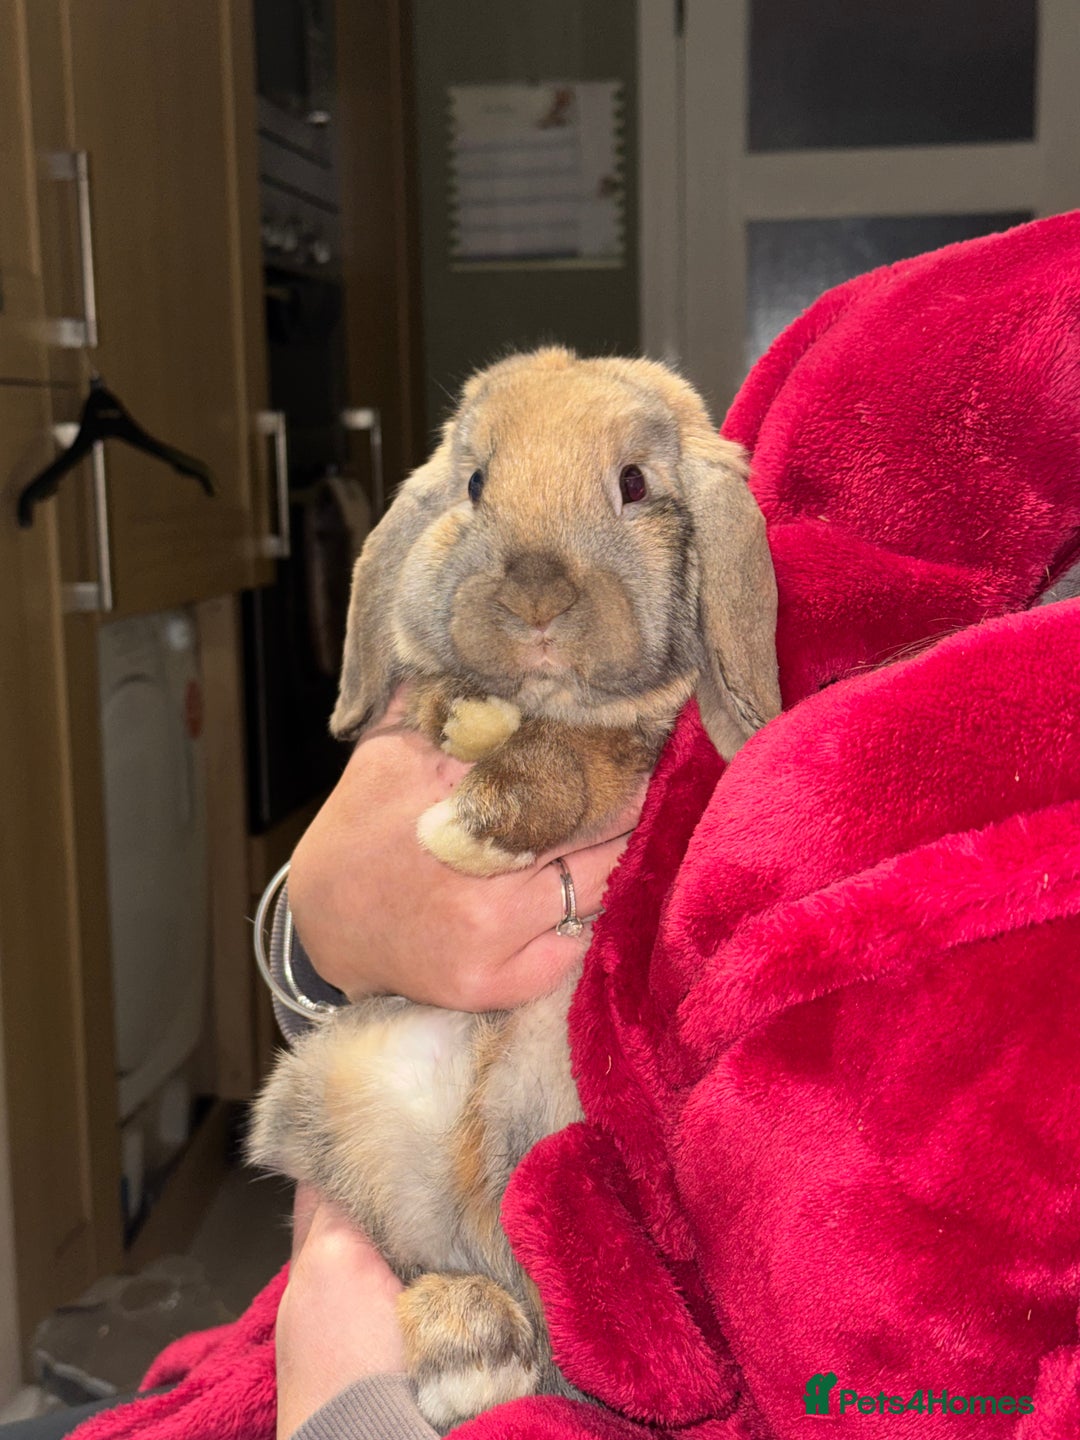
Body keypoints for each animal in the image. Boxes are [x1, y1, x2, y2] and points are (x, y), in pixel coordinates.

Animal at [247, 347, 780, 1430]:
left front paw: (475, 818)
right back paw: (472, 1345)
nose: (535, 600)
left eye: (634, 484)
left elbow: (588, 764)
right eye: (476, 484)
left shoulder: (629, 755)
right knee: (416, 1262)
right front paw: (467, 717)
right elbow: (452, 703)